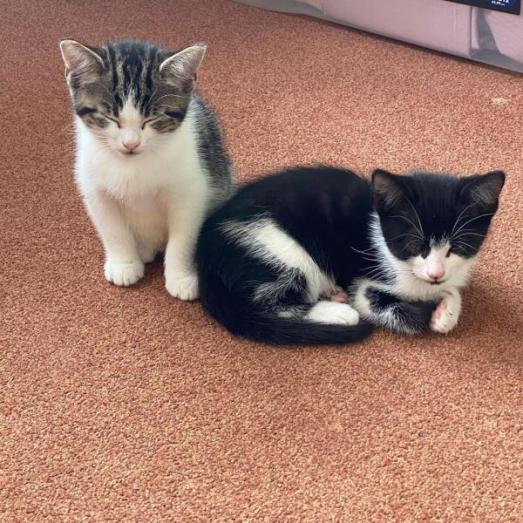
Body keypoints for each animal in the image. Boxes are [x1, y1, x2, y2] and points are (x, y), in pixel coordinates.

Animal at [59, 39, 233, 300]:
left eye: (152, 119)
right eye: (110, 117)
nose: (130, 143)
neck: (131, 165)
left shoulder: (190, 191)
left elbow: (183, 238)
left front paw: (181, 277)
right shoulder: (94, 189)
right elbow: (112, 229)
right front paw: (124, 264)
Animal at [195, 164, 504, 344]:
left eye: (457, 247)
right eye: (415, 246)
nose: (436, 273)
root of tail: (204, 252)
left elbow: (452, 289)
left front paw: (446, 312)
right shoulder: (366, 281)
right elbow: (384, 306)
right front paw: (428, 313)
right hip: (279, 246)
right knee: (271, 302)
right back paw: (338, 311)